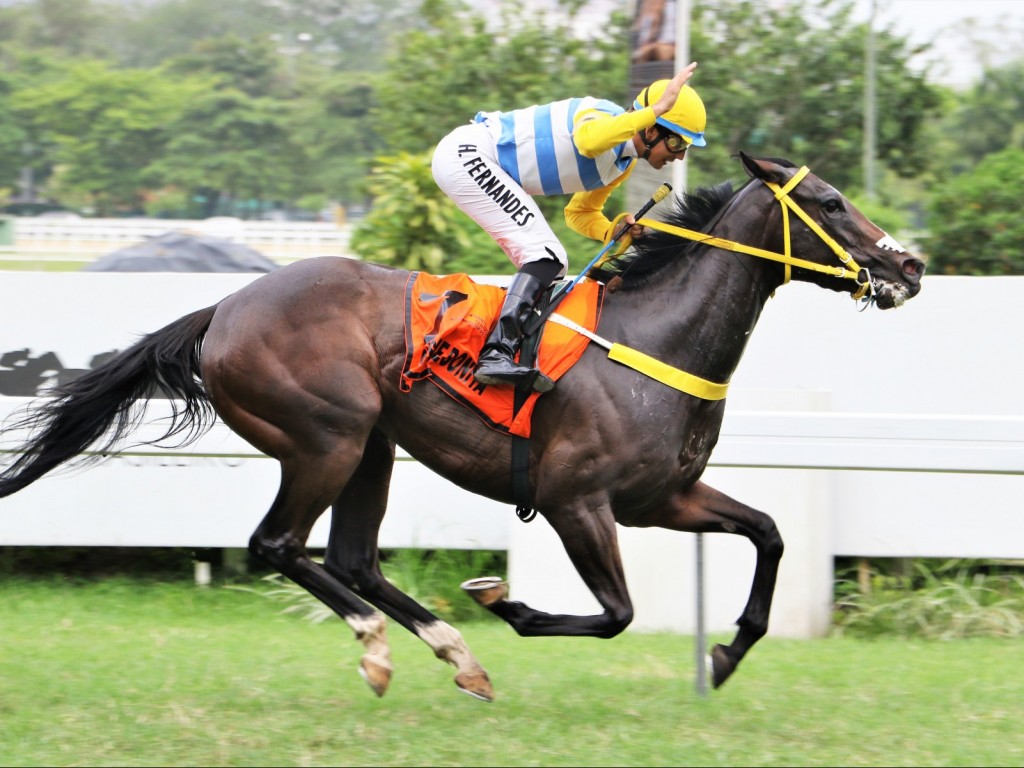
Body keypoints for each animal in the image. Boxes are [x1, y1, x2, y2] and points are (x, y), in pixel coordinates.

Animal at [0, 154, 925, 704]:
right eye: (832, 201)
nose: (909, 265)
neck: (655, 340)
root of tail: (224, 306)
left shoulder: (666, 498)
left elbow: (768, 533)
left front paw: (727, 654)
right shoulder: (576, 501)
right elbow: (616, 612)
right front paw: (504, 602)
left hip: (372, 446)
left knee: (351, 558)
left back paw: (452, 654)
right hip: (325, 436)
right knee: (278, 545)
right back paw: (385, 647)